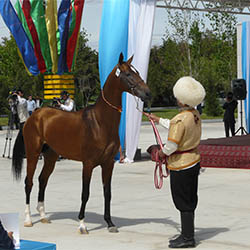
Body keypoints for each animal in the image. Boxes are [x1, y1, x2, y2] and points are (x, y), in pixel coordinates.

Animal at [11, 53, 150, 234]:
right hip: (33, 153)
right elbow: (85, 193)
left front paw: (110, 223)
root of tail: (34, 115)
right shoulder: (88, 164)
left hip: (51, 156)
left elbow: (107, 193)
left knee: (43, 180)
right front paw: (82, 224)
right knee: (29, 182)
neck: (100, 122)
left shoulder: (108, 164)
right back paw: (28, 220)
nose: (147, 93)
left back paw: (43, 216)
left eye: (138, 72)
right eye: (128, 74)